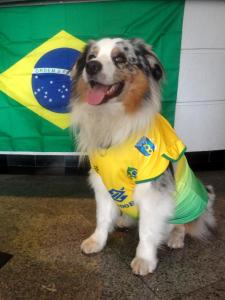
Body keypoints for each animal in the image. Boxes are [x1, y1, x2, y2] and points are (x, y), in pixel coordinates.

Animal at [71, 38, 216, 276]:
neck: (115, 122)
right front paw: (97, 241)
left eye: (119, 59)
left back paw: (175, 238)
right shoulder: (102, 181)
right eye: (91, 57)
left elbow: (147, 230)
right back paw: (126, 220)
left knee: (183, 225)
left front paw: (144, 260)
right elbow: (102, 217)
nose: (91, 67)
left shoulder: (153, 189)